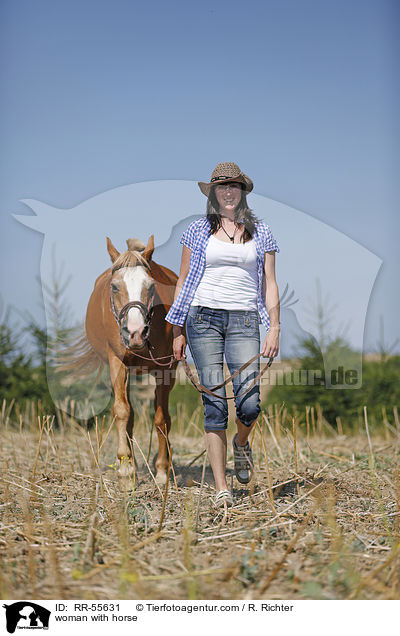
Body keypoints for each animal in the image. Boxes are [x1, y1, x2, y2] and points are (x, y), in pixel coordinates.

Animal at [85, 235, 178, 482]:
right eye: (115, 286)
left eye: (151, 286)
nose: (135, 332)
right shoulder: (117, 364)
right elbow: (122, 411)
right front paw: (125, 471)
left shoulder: (165, 371)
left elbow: (161, 418)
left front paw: (162, 471)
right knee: (129, 414)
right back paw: (131, 465)